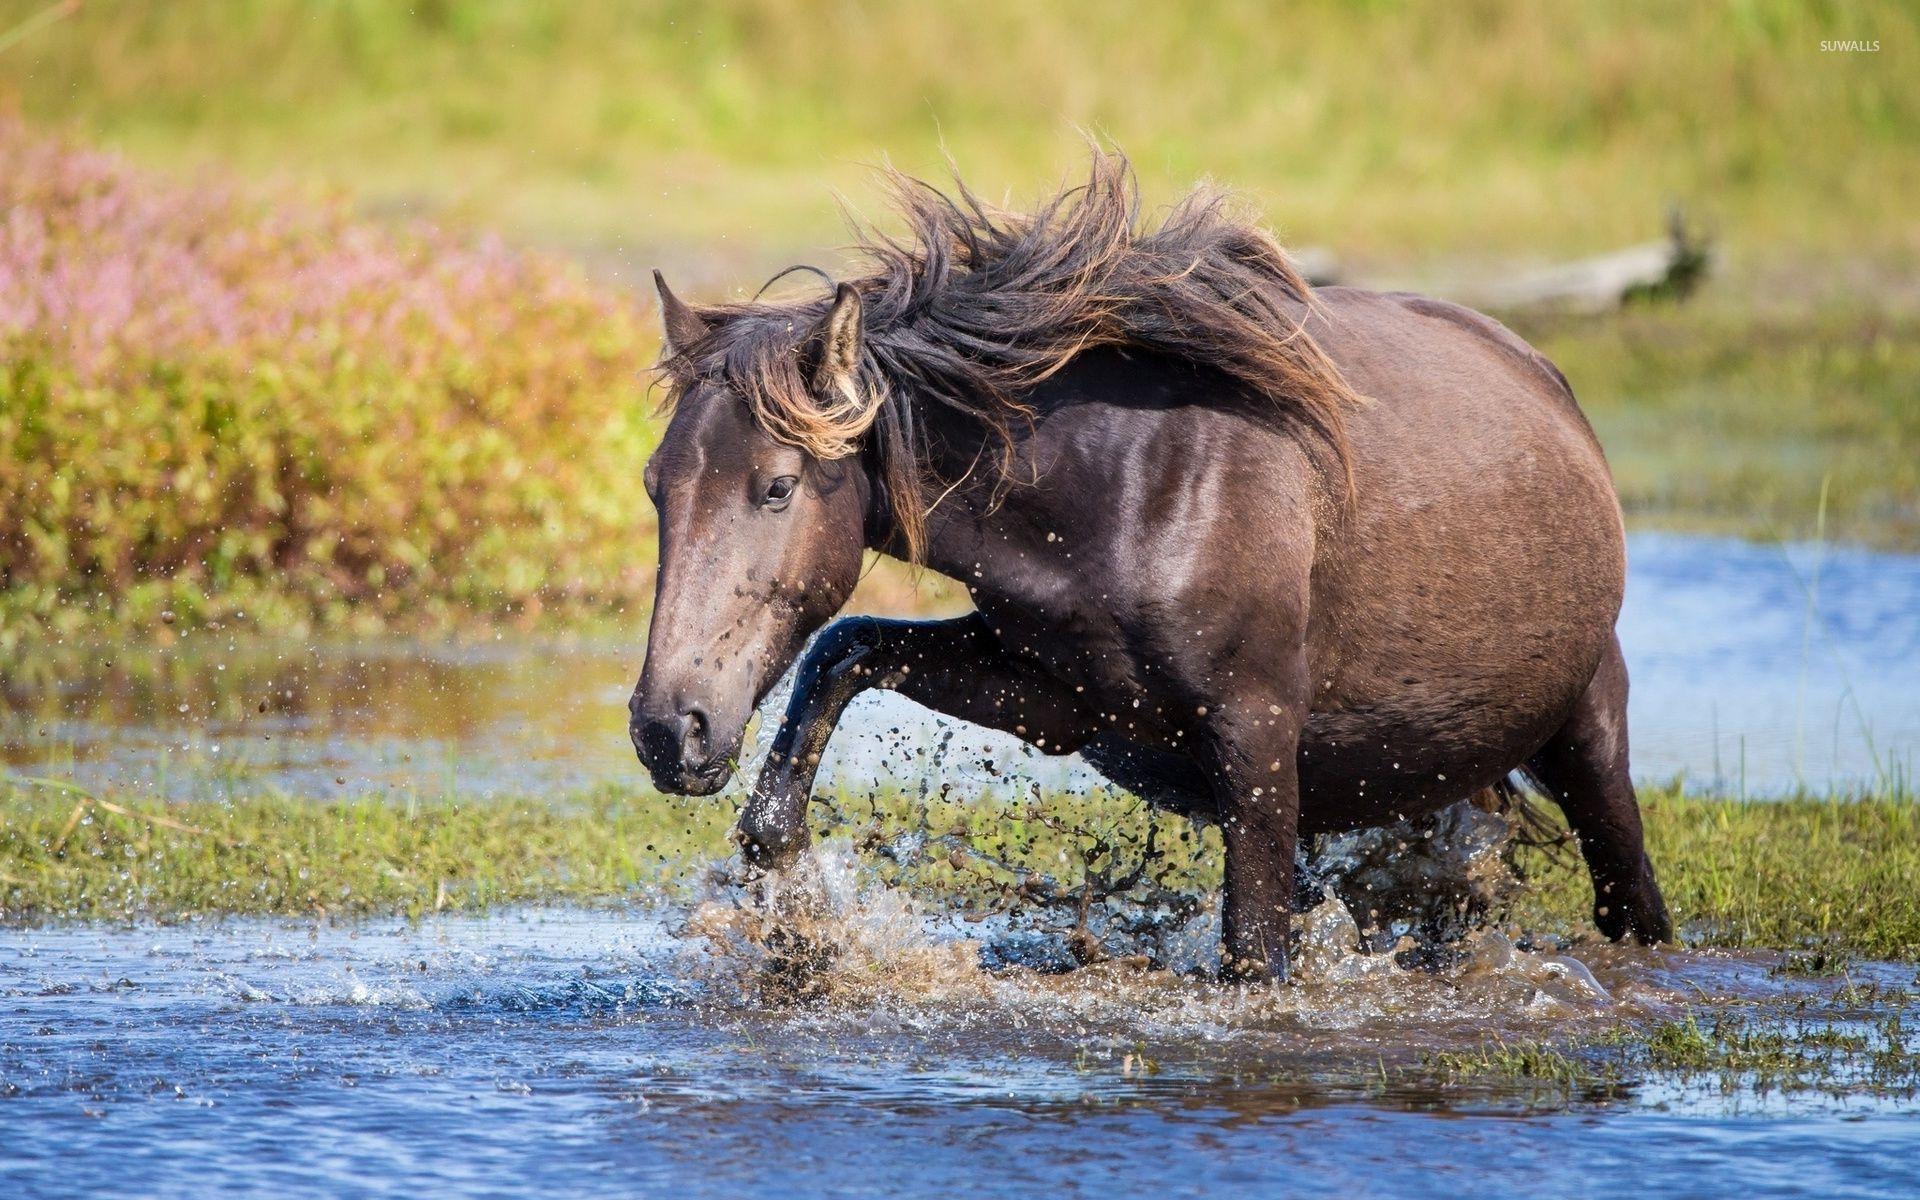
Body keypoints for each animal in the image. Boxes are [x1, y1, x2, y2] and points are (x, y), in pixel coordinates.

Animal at [629, 152, 1672, 980]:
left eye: (776, 487)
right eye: (653, 487)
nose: (667, 731)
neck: (1127, 484)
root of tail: (1546, 381)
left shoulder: (1255, 736)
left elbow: (1254, 952)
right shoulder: (1060, 698)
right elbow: (845, 649)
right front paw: (784, 881)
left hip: (1587, 737)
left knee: (1633, 904)